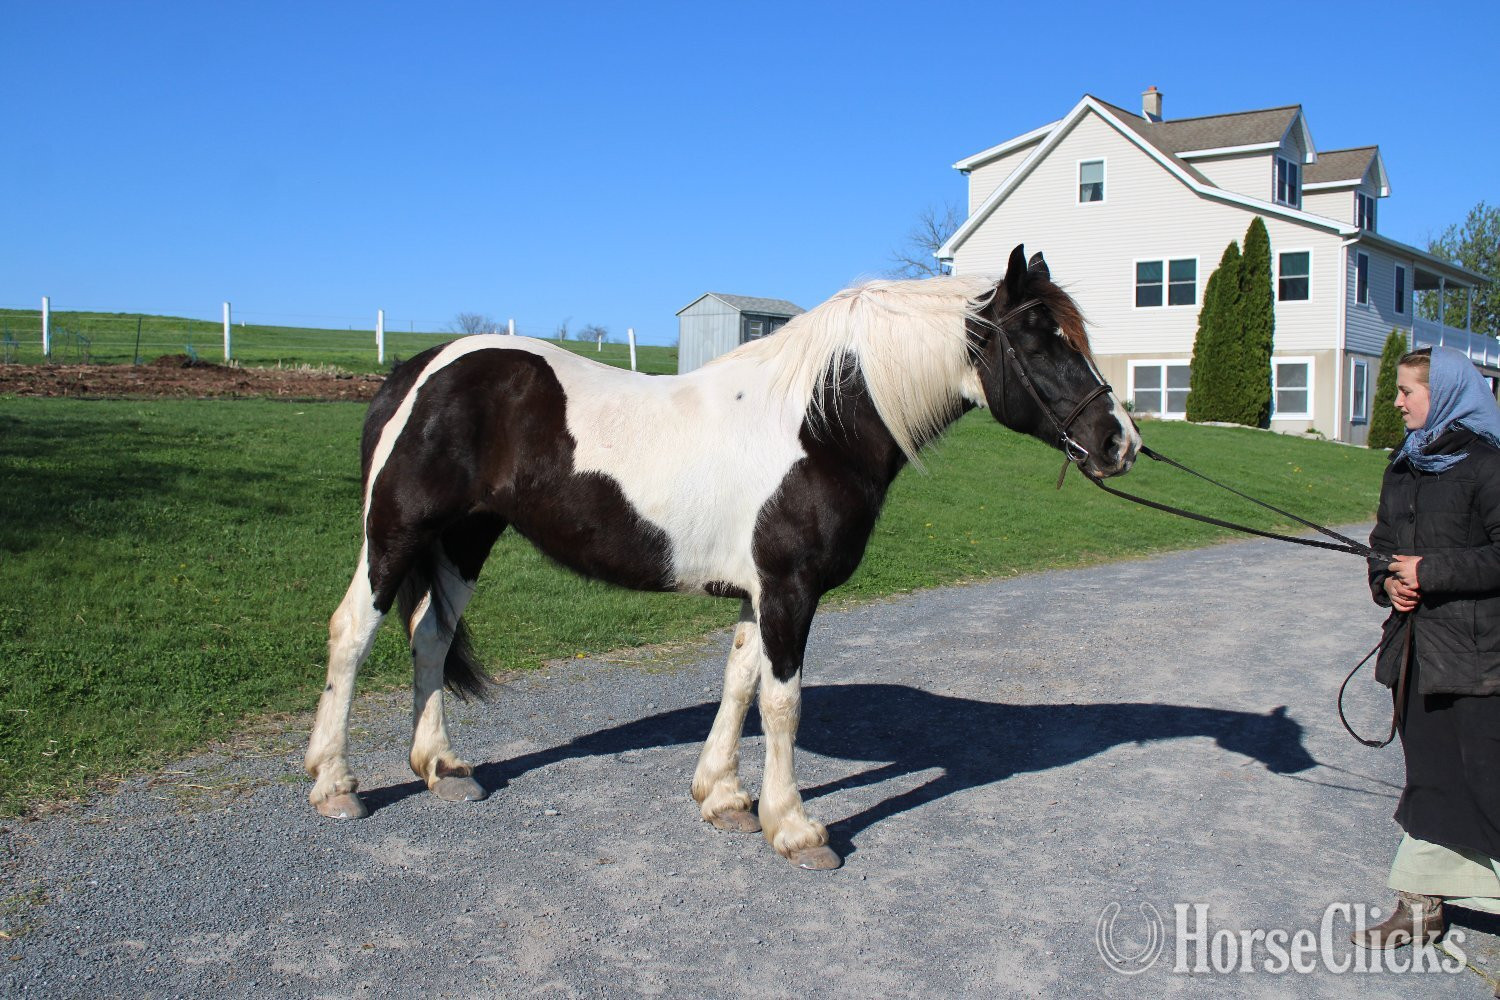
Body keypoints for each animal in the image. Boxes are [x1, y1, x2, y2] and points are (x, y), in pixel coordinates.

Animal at [305, 243, 1142, 870]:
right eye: (1038, 335)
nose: (1119, 441)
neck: (818, 424)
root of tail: (418, 372)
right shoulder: (791, 589)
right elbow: (782, 702)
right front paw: (794, 827)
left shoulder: (759, 591)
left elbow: (739, 684)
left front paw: (724, 799)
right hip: (396, 534)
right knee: (353, 632)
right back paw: (335, 785)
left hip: (466, 539)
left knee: (429, 638)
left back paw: (441, 768)